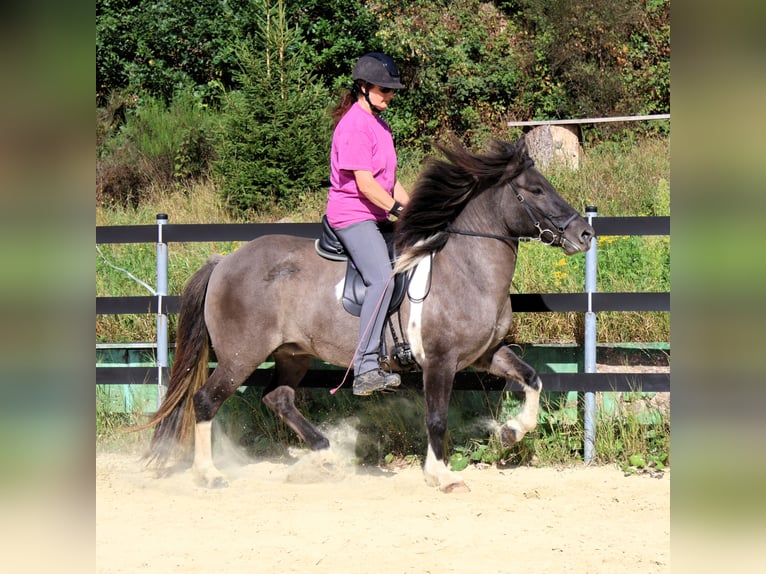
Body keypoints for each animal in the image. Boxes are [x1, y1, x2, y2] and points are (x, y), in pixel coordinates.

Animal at [141, 137, 595, 493]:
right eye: (536, 190)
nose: (585, 234)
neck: (467, 268)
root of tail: (224, 261)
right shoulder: (440, 361)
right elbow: (436, 418)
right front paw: (442, 476)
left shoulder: (485, 353)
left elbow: (532, 379)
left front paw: (510, 431)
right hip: (242, 355)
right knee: (205, 400)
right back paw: (209, 475)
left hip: (293, 353)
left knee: (278, 398)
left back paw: (326, 456)